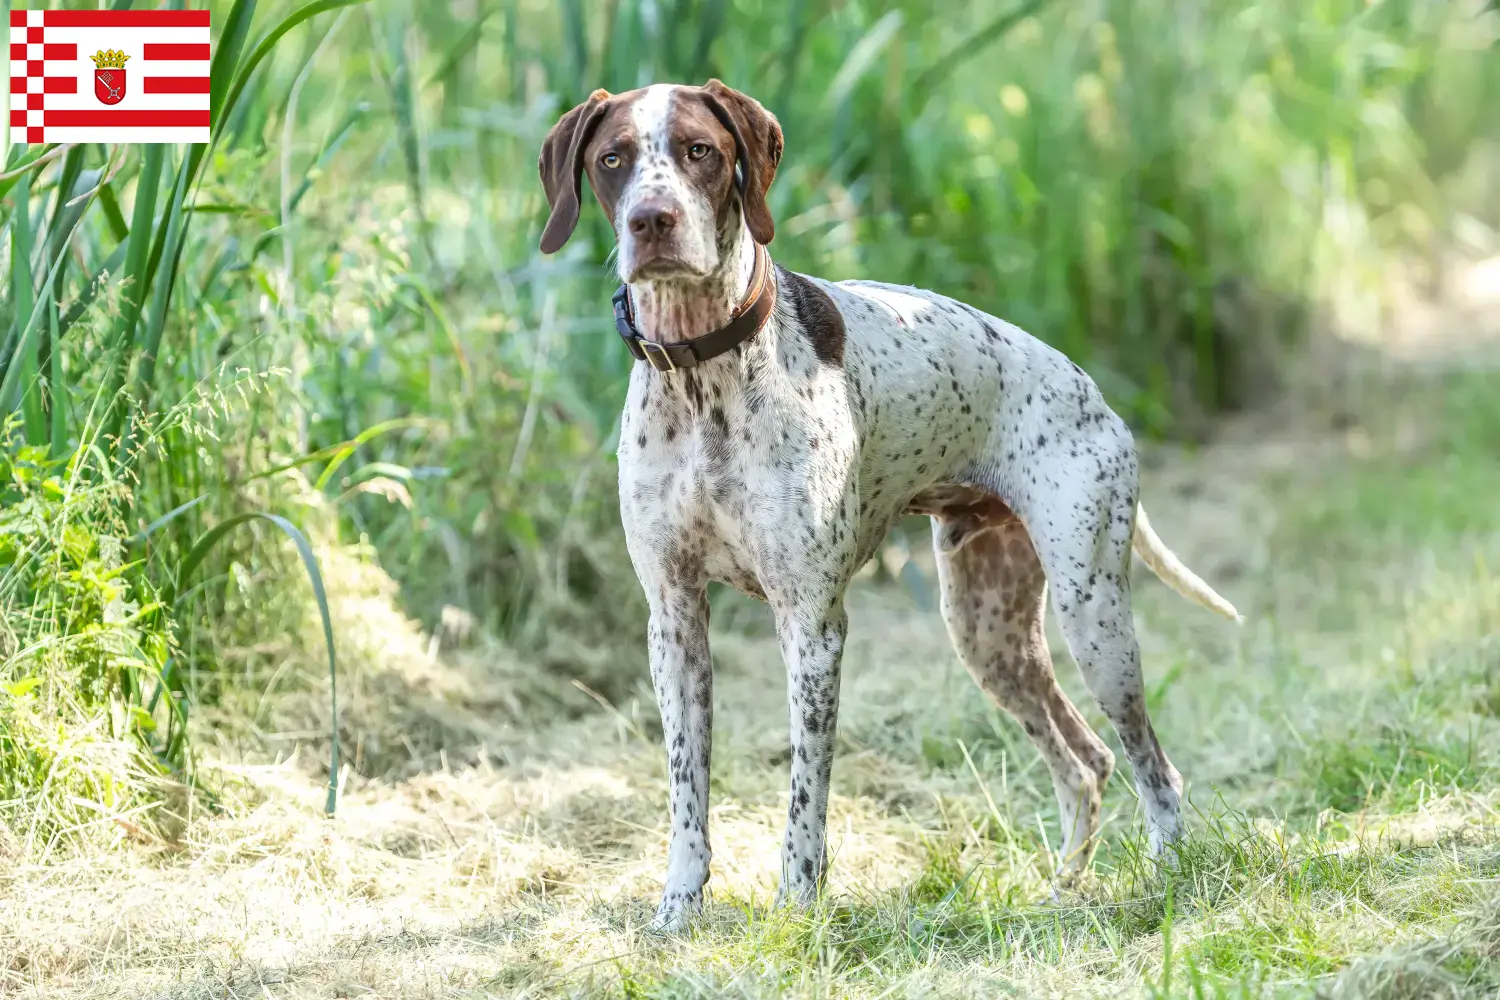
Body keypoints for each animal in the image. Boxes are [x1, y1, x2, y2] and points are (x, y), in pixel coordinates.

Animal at [540, 82, 1242, 935]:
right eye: (613, 159)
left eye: (699, 150)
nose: (652, 220)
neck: (704, 372)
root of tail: (1092, 392)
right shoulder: (674, 622)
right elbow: (687, 790)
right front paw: (679, 907)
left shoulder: (812, 627)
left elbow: (805, 798)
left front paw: (797, 909)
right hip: (989, 633)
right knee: (1087, 761)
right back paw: (1062, 892)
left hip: (1095, 621)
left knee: (1153, 766)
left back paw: (1166, 881)